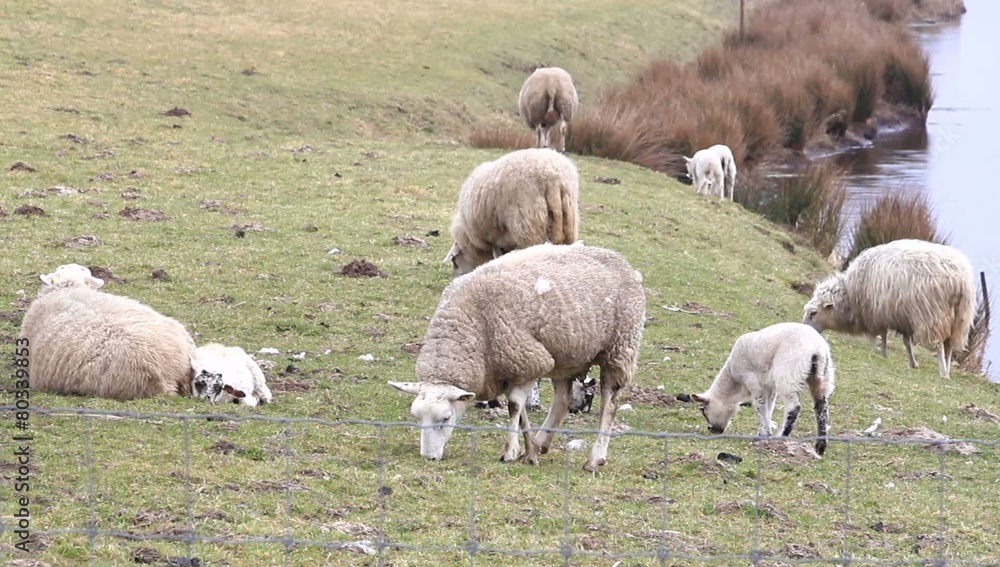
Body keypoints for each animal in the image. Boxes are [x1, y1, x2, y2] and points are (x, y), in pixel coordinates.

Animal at [390, 242, 646, 472]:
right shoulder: (518, 367)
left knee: (609, 404)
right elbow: (521, 409)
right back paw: (542, 443)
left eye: (444, 419)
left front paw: (510, 451)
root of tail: (622, 261)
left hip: (619, 348)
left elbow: (514, 406)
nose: (428, 457)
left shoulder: (528, 359)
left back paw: (595, 458)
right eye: (417, 417)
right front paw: (529, 450)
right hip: (566, 354)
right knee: (562, 400)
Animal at [445, 147, 579, 277]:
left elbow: (497, 255)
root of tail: (552, 175)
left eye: (454, 262)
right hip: (568, 221)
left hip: (528, 225)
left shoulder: (493, 237)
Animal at [690, 322, 836, 456]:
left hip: (788, 373)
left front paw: (764, 434)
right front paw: (763, 431)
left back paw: (782, 436)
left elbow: (760, 406)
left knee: (794, 406)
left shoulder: (752, 380)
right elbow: (769, 407)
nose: (712, 430)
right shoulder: (769, 387)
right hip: (822, 377)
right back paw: (820, 445)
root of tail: (817, 349)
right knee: (821, 407)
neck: (735, 383)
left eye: (703, 410)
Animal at [802, 239, 976, 379]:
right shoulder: (903, 317)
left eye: (813, 313)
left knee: (939, 344)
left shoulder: (880, 313)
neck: (851, 296)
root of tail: (958, 279)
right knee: (949, 346)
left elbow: (884, 336)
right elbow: (906, 341)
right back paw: (947, 370)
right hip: (960, 318)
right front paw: (913, 363)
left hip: (933, 315)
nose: (805, 332)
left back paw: (943, 372)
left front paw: (884, 354)